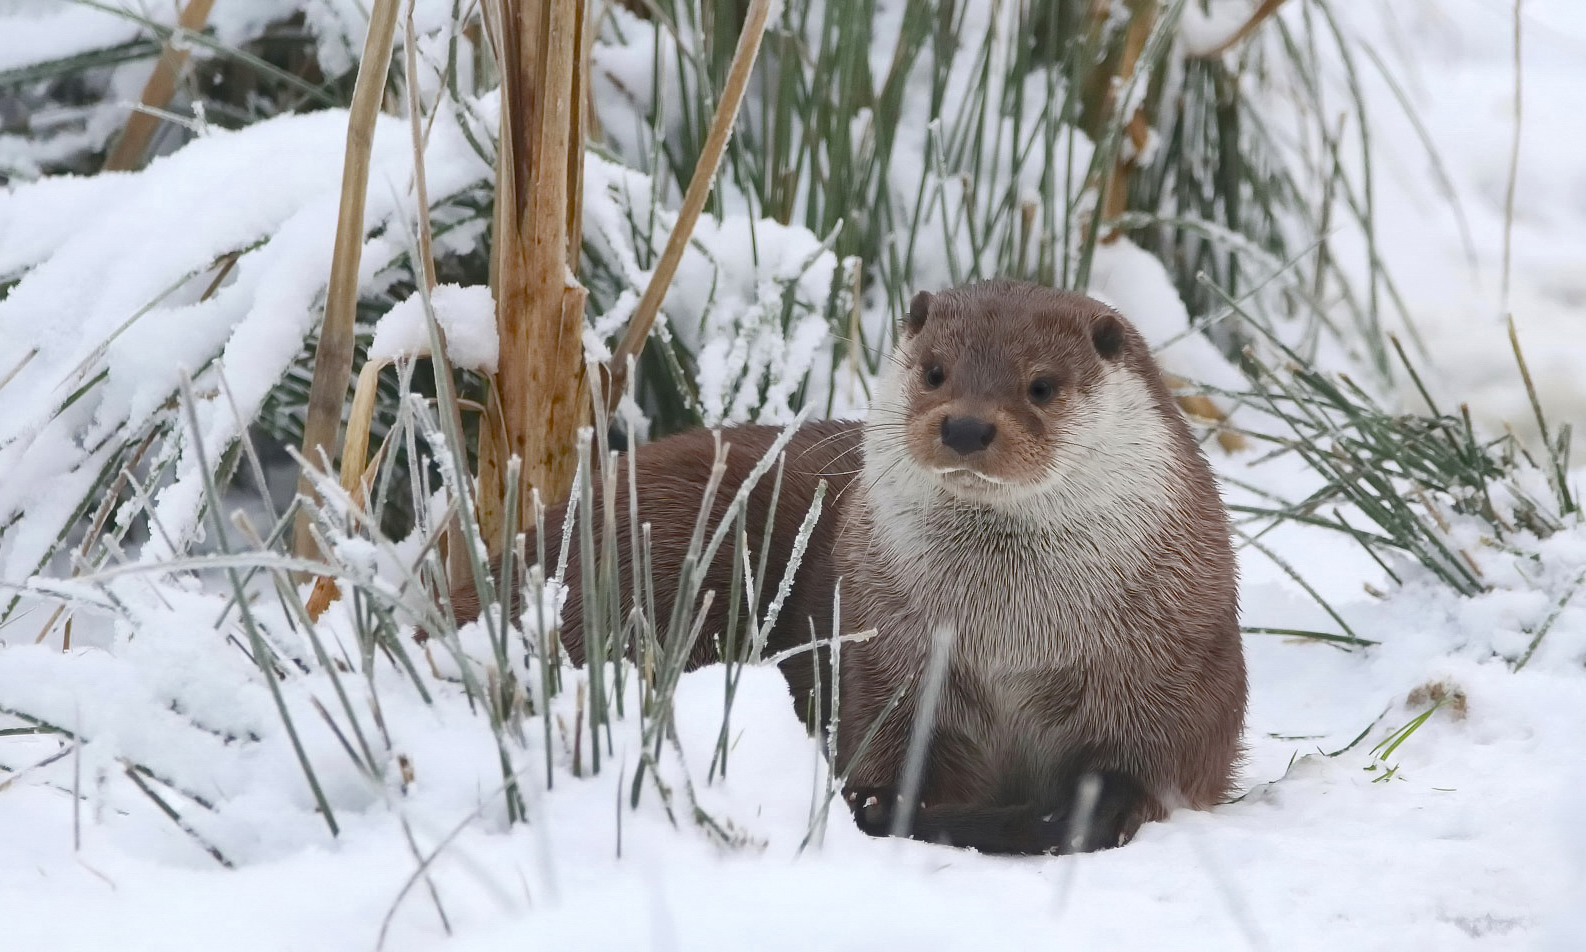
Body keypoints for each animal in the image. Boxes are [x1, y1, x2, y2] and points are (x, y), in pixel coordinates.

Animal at [447, 279, 1237, 850]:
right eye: (934, 372)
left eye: (1041, 385)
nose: (966, 425)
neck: (1012, 645)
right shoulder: (885, 655)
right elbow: (884, 754)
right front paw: (892, 804)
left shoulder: (1170, 674)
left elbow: (1144, 774)